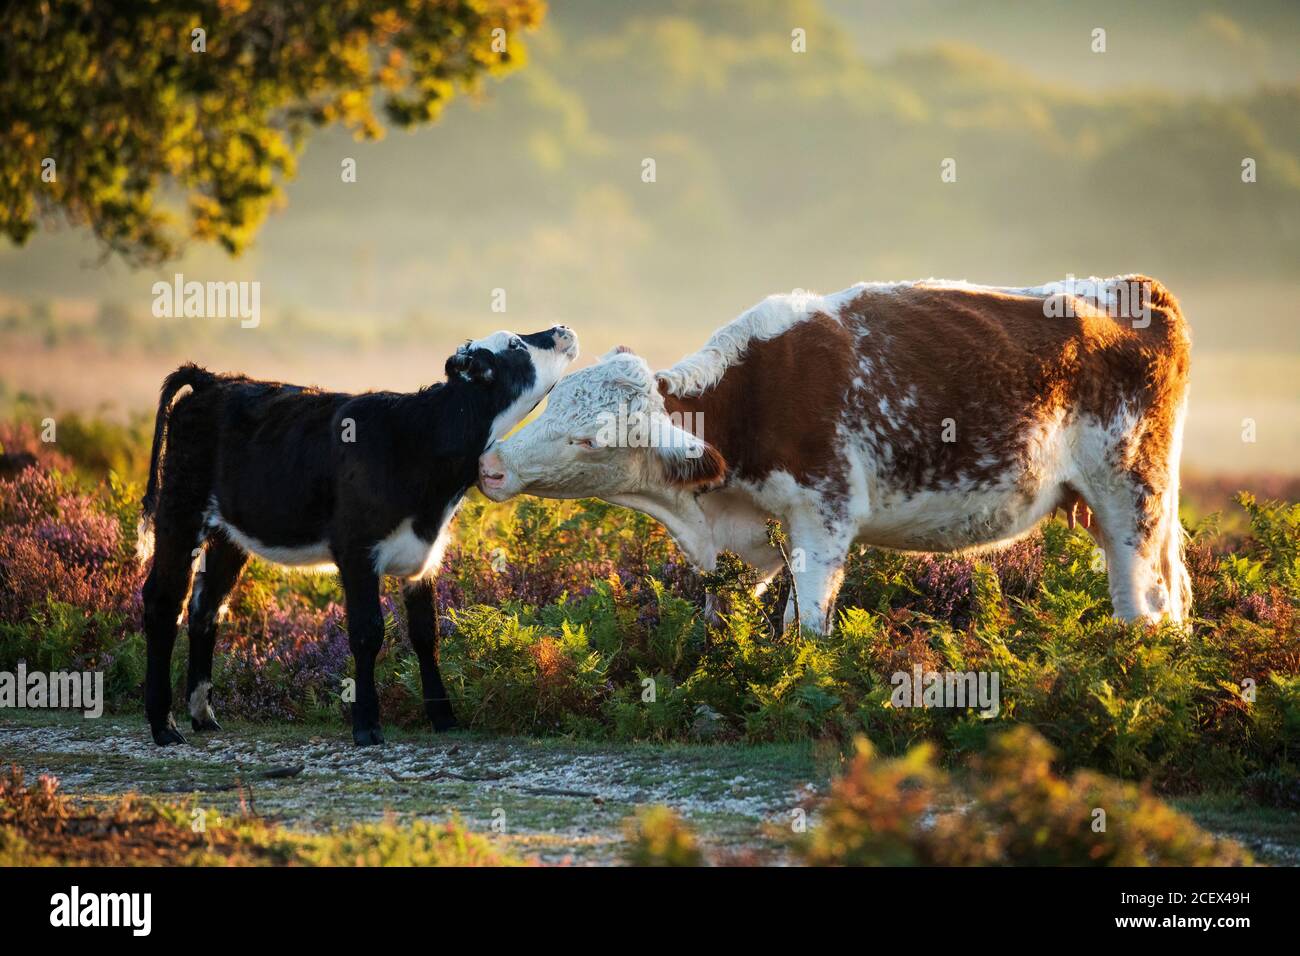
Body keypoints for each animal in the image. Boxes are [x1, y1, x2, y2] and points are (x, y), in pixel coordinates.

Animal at [139, 326, 578, 746]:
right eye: (516, 344)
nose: (563, 328)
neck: (419, 442)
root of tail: (215, 381)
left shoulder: (424, 556)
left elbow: (426, 635)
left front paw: (444, 718)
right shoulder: (356, 551)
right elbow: (368, 633)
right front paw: (367, 726)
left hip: (229, 535)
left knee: (207, 608)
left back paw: (203, 716)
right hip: (180, 511)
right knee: (164, 602)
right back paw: (164, 726)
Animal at [478, 278, 1191, 633]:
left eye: (589, 439)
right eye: (552, 403)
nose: (491, 466)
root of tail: (1135, 288)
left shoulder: (825, 517)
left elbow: (808, 623)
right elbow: (723, 614)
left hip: (1131, 495)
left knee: (1143, 602)